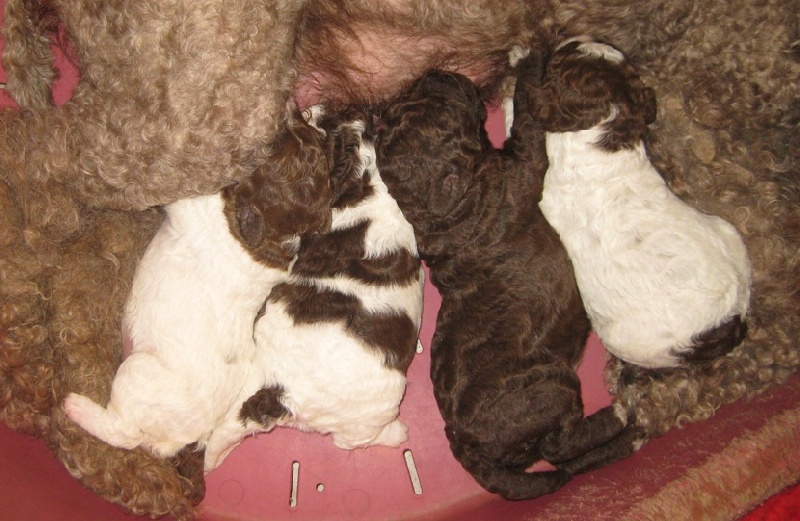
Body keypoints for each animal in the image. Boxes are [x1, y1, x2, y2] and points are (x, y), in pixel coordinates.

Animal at [61, 114, 332, 460]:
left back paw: (76, 406)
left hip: (136, 373)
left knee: (122, 432)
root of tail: (179, 440)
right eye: (305, 139)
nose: (295, 111)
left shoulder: (192, 205)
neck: (272, 229)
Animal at [376, 54, 636, 502]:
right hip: (550, 387)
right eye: (440, 110)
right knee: (559, 446)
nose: (437, 72)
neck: (442, 208)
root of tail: (464, 442)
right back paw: (620, 415)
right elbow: (529, 122)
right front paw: (528, 63)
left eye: (411, 99)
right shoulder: (521, 165)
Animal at [536, 36, 752, 368]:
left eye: (563, 58)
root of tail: (731, 319)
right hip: (727, 231)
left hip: (625, 341)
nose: (577, 37)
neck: (607, 132)